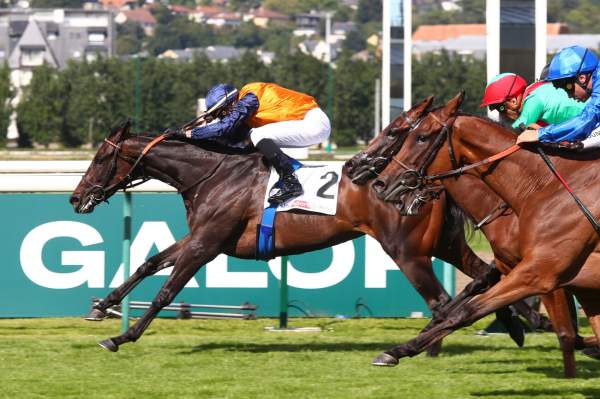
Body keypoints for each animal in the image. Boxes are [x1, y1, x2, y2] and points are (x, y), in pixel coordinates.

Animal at [70, 104, 504, 354]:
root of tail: (422, 181)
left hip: (406, 250)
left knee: (442, 301)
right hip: (443, 244)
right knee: (483, 276)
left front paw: (121, 337)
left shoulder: (206, 244)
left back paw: (423, 348)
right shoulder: (200, 237)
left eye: (102, 156)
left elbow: (166, 291)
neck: (213, 174)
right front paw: (101, 306)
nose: (76, 198)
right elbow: (148, 264)